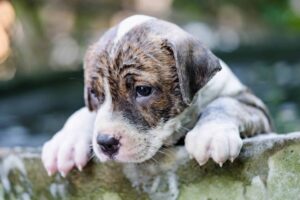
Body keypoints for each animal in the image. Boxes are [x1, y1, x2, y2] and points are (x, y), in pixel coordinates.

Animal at [40, 15, 272, 177]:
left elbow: (226, 103)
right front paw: (66, 143)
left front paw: (211, 134)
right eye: (95, 94)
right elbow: (83, 114)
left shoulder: (257, 110)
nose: (105, 143)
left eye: (143, 90)